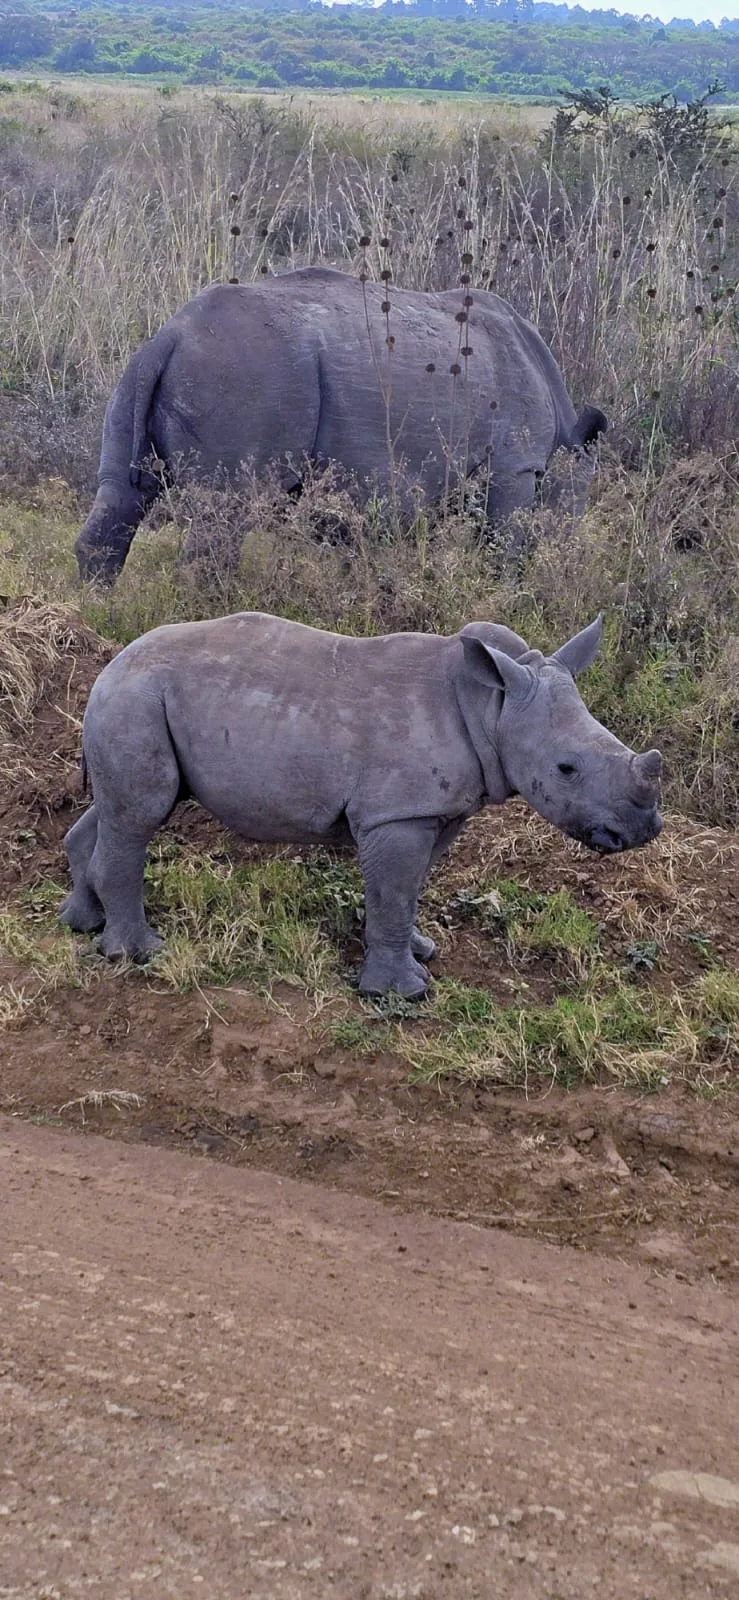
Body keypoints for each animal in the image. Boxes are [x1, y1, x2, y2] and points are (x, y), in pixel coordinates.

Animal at [60, 611, 662, 998]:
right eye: (566, 769)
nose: (643, 830)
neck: (492, 706)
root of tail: (110, 666)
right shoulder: (396, 813)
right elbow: (394, 889)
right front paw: (402, 994)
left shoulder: (435, 808)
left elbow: (410, 888)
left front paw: (422, 951)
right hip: (136, 698)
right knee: (142, 813)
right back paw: (139, 954)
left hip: (138, 700)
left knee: (123, 810)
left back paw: (85, 926)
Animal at [75, 266, 607, 584]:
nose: (569, 562)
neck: (567, 432)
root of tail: (169, 337)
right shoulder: (517, 466)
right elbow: (505, 548)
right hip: (246, 372)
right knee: (226, 513)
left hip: (144, 371)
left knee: (123, 493)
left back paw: (98, 608)